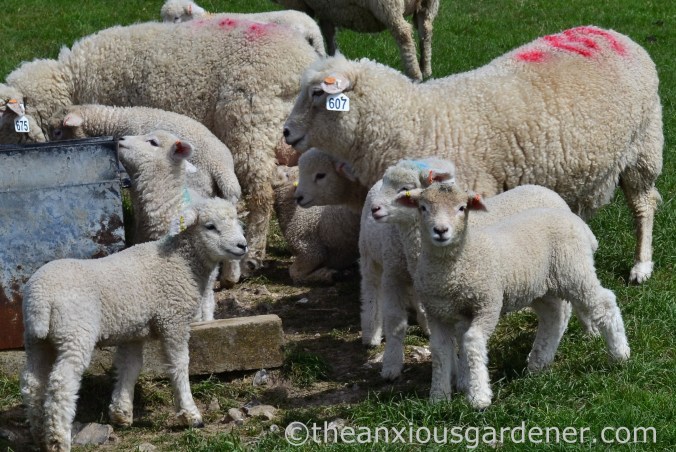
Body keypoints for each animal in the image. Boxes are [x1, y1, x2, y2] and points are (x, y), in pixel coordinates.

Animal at [3, 18, 320, 273]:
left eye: (7, 123)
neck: (74, 81)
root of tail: (302, 63)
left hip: (249, 122)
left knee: (261, 195)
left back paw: (252, 255)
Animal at [20, 196, 247, 451]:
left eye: (236, 221)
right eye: (210, 226)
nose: (242, 245)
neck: (182, 262)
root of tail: (41, 298)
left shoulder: (132, 331)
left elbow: (130, 366)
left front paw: (121, 413)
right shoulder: (173, 320)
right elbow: (179, 365)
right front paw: (190, 414)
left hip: (36, 339)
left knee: (33, 383)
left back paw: (40, 434)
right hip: (75, 332)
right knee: (61, 384)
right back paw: (59, 439)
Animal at [271, 0, 439, 80]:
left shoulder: (298, 3)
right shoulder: (326, 10)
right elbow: (328, 33)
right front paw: (332, 57)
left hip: (389, 7)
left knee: (404, 34)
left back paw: (414, 74)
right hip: (428, 6)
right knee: (426, 30)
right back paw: (426, 69)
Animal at [283, 25, 663, 284]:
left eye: (317, 93)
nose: (286, 132)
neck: (419, 119)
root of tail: (611, 32)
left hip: (643, 149)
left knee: (644, 206)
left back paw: (641, 266)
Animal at [398, 183, 630, 408]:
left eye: (462, 208)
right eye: (423, 208)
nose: (440, 230)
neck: (453, 268)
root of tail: (577, 221)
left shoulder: (487, 305)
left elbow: (472, 341)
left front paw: (478, 396)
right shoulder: (437, 313)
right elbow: (440, 351)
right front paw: (439, 398)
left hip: (574, 270)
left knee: (604, 303)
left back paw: (620, 353)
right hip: (540, 287)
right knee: (554, 316)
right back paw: (539, 363)